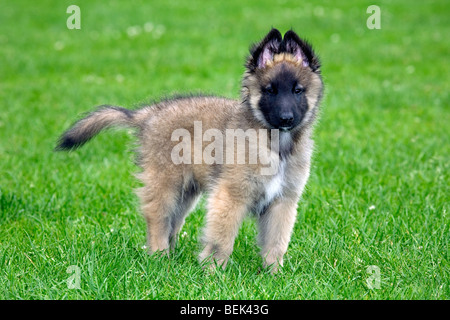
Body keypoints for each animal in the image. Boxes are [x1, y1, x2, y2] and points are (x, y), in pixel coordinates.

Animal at [56, 28, 324, 272]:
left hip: (186, 192)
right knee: (158, 218)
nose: (286, 118)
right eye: (270, 90)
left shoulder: (283, 201)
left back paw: (171, 258)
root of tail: (148, 114)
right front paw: (213, 272)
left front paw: (273, 275)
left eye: (298, 90)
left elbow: (276, 243)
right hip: (166, 183)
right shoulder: (230, 196)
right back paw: (159, 258)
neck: (275, 142)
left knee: (173, 224)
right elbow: (221, 239)